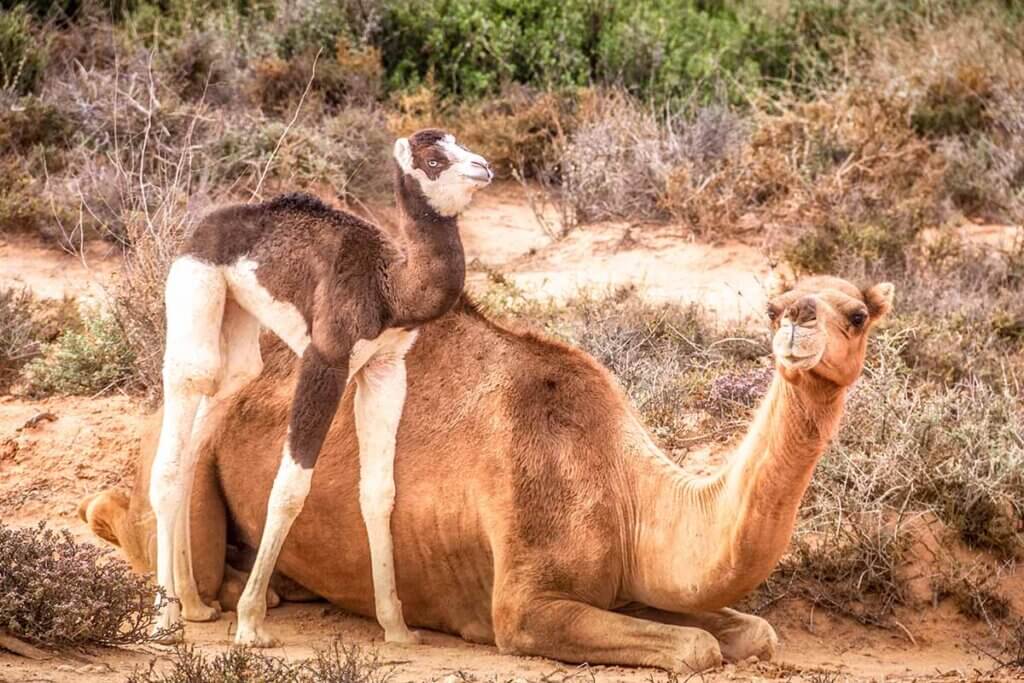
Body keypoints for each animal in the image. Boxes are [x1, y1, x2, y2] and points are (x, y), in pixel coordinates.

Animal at [83, 272, 892, 671]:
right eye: (774, 307)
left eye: (857, 313)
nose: (799, 326)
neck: (628, 488)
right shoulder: (524, 603)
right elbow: (697, 649)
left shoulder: (629, 583)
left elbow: (752, 631)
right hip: (189, 452)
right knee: (161, 536)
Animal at [148, 126, 491, 647]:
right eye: (433, 159)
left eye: (461, 143)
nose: (483, 167)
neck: (390, 290)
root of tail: (201, 228)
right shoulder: (326, 361)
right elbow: (289, 488)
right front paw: (251, 624)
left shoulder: (386, 368)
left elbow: (379, 493)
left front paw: (397, 627)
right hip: (195, 295)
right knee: (178, 426)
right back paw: (163, 618)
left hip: (239, 334)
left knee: (207, 425)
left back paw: (194, 604)